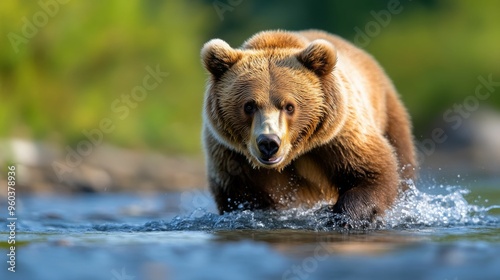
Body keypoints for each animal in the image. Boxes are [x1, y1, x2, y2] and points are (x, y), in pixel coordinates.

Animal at [201, 29, 416, 225]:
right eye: (249, 106)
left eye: (289, 106)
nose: (269, 142)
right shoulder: (231, 158)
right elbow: (242, 198)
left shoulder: (338, 136)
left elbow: (372, 172)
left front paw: (345, 217)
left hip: (389, 113)